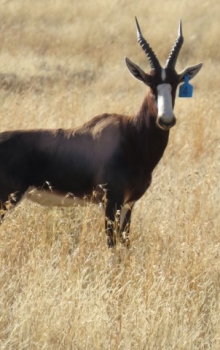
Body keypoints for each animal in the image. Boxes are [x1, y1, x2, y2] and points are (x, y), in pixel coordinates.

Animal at [0, 19, 201, 247]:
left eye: (175, 84)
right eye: (150, 84)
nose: (166, 119)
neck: (130, 135)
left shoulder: (129, 204)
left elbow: (125, 244)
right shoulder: (110, 202)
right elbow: (112, 245)